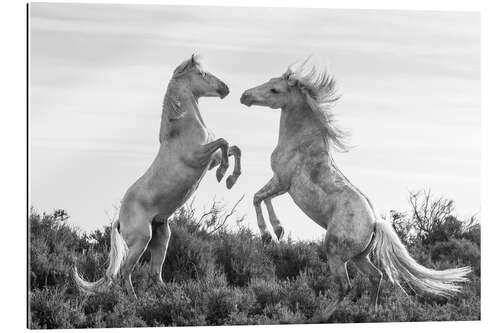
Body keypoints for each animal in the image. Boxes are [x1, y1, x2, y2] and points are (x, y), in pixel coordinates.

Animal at [73, 54, 242, 296]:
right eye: (202, 74)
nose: (225, 89)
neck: (181, 130)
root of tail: (119, 220)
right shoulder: (197, 156)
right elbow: (224, 142)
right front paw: (223, 175)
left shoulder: (210, 159)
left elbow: (234, 148)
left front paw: (230, 178)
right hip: (141, 239)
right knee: (123, 274)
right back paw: (135, 300)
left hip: (161, 236)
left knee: (154, 274)